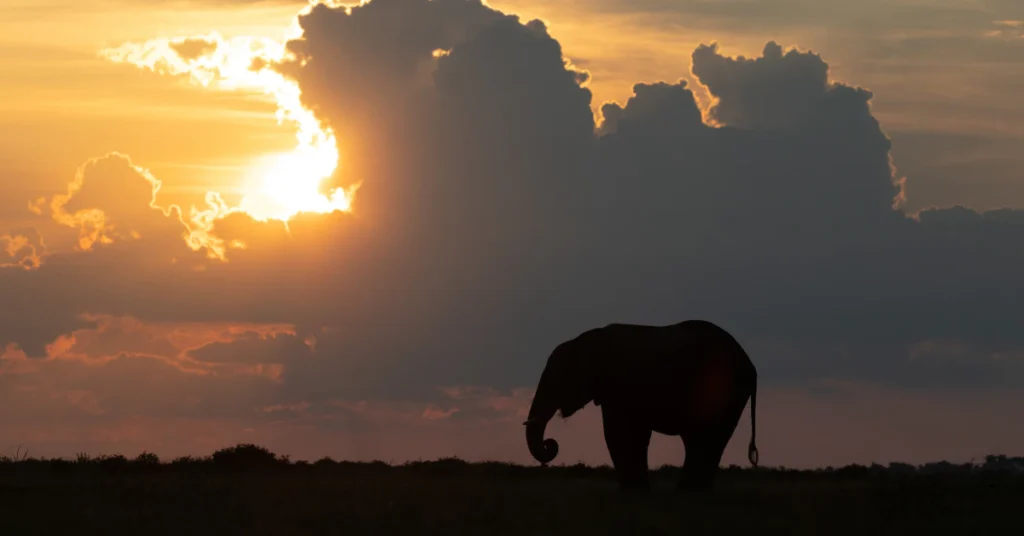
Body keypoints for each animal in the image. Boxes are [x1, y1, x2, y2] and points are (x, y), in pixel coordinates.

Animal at [523, 319, 758, 492]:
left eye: (557, 380)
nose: (550, 444)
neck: (587, 340)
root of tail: (751, 366)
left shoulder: (620, 387)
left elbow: (619, 433)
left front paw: (634, 492)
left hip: (724, 393)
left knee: (704, 439)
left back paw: (689, 493)